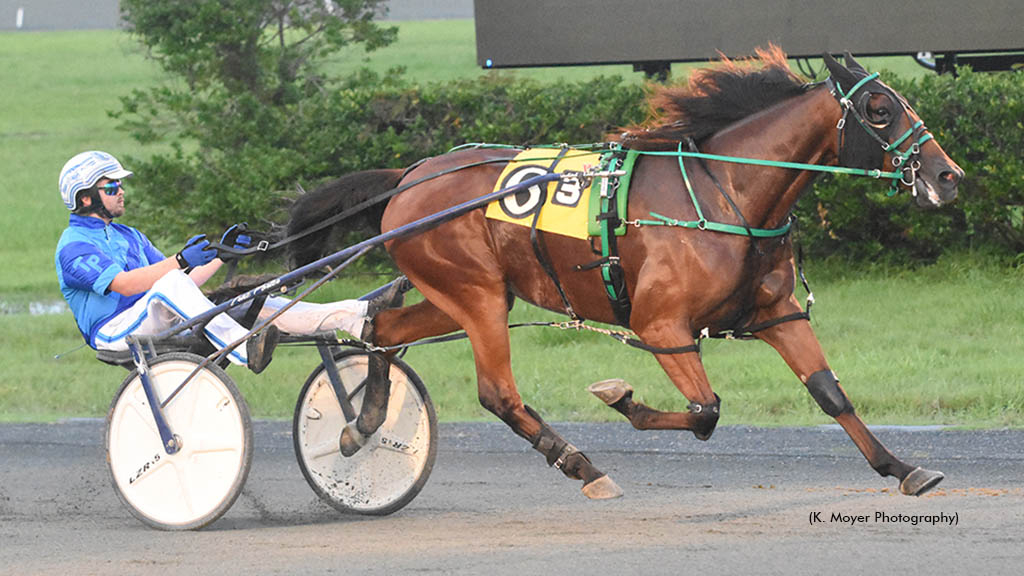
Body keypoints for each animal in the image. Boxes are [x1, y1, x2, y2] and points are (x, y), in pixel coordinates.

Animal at [288, 48, 958, 498]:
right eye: (879, 108)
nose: (947, 175)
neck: (724, 195)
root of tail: (406, 177)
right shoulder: (661, 327)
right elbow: (706, 411)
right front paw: (622, 398)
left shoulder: (775, 313)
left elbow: (829, 392)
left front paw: (903, 468)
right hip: (474, 293)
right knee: (497, 392)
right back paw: (581, 465)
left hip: (465, 293)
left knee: (381, 328)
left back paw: (362, 424)